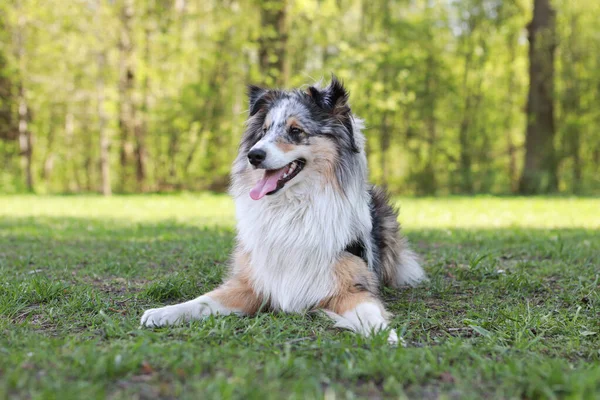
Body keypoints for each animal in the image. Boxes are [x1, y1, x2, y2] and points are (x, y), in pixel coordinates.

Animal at [141, 77, 424, 344]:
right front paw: (163, 312)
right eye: (264, 131)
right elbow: (202, 301)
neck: (292, 208)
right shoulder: (253, 282)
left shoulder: (351, 288)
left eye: (295, 130)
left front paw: (388, 337)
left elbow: (370, 314)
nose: (253, 155)